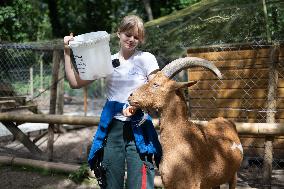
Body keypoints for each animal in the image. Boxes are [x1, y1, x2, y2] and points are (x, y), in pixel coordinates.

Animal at [129, 57, 242, 189]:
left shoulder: (192, 185)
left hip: (233, 175)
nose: (131, 96)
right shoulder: (168, 183)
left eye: (156, 84)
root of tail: (226, 121)